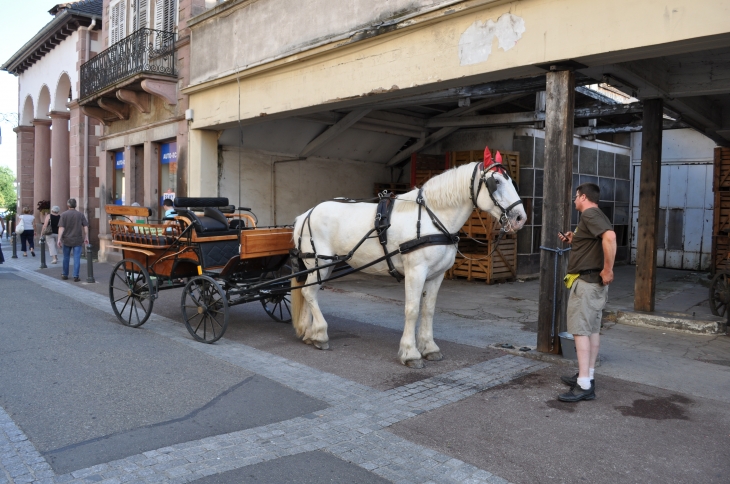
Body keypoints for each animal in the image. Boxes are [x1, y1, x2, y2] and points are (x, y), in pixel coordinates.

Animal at [288, 158, 524, 366]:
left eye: (512, 180)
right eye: (496, 182)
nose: (520, 218)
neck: (432, 218)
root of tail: (306, 214)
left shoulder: (436, 275)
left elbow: (428, 309)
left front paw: (429, 348)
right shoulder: (415, 272)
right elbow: (412, 310)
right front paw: (410, 353)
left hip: (319, 265)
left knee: (307, 291)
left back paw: (309, 333)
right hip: (320, 263)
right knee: (309, 293)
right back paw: (320, 335)